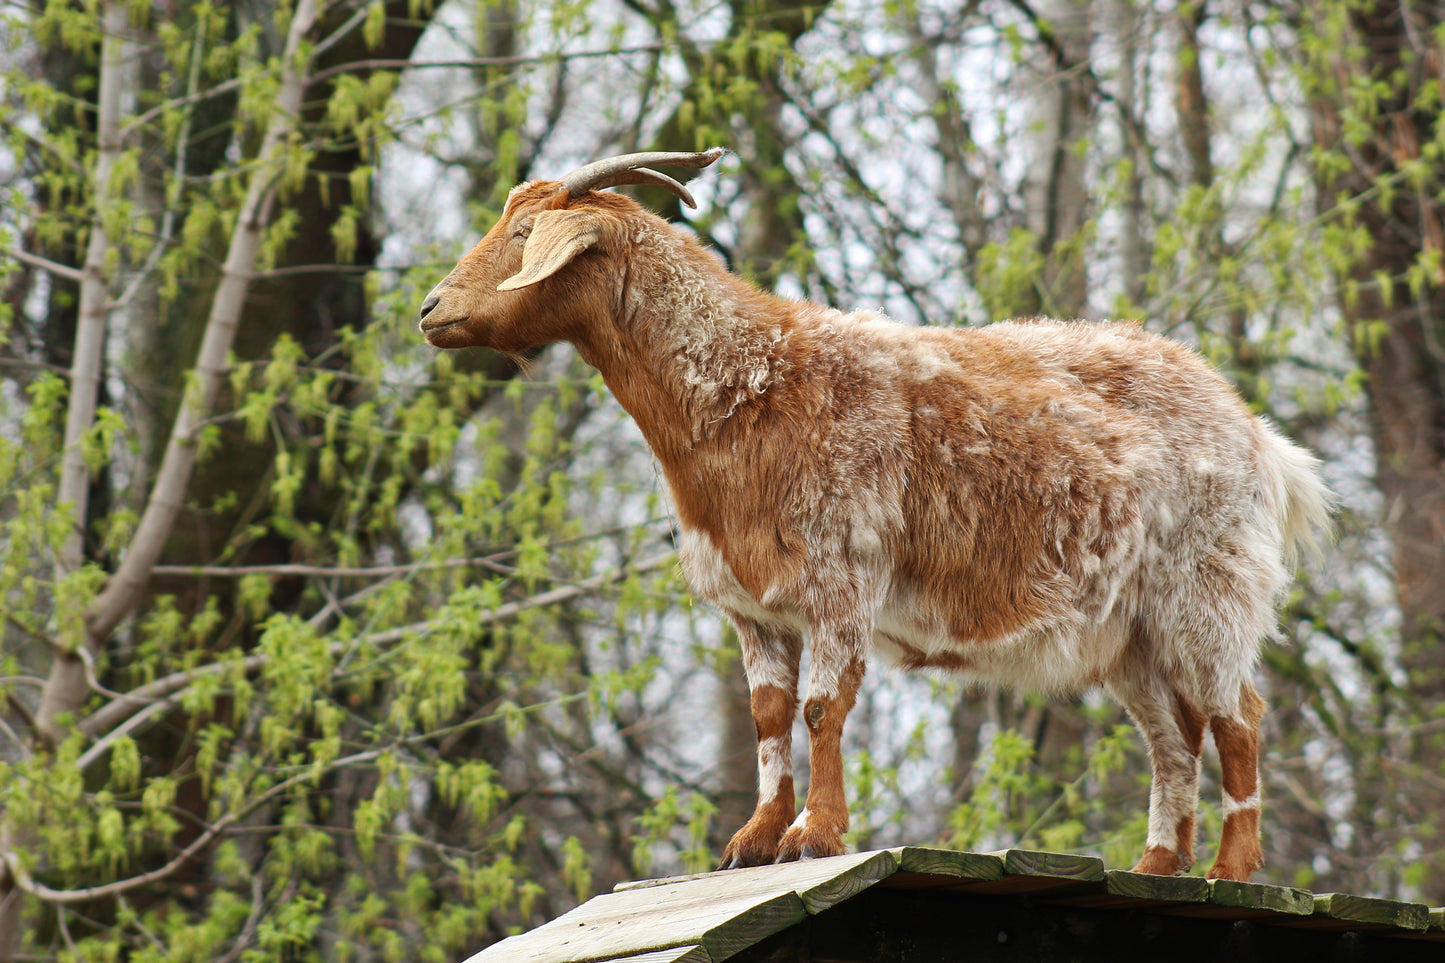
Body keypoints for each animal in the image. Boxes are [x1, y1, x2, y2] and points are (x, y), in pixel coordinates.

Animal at [419, 148, 1334, 881]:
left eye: (523, 232)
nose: (431, 310)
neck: (750, 388)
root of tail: (1258, 436)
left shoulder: (840, 574)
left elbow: (824, 705)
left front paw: (813, 834)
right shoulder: (752, 604)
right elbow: (768, 713)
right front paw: (752, 838)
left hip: (1205, 587)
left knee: (1238, 717)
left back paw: (1231, 867)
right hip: (1129, 633)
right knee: (1171, 736)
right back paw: (1154, 863)